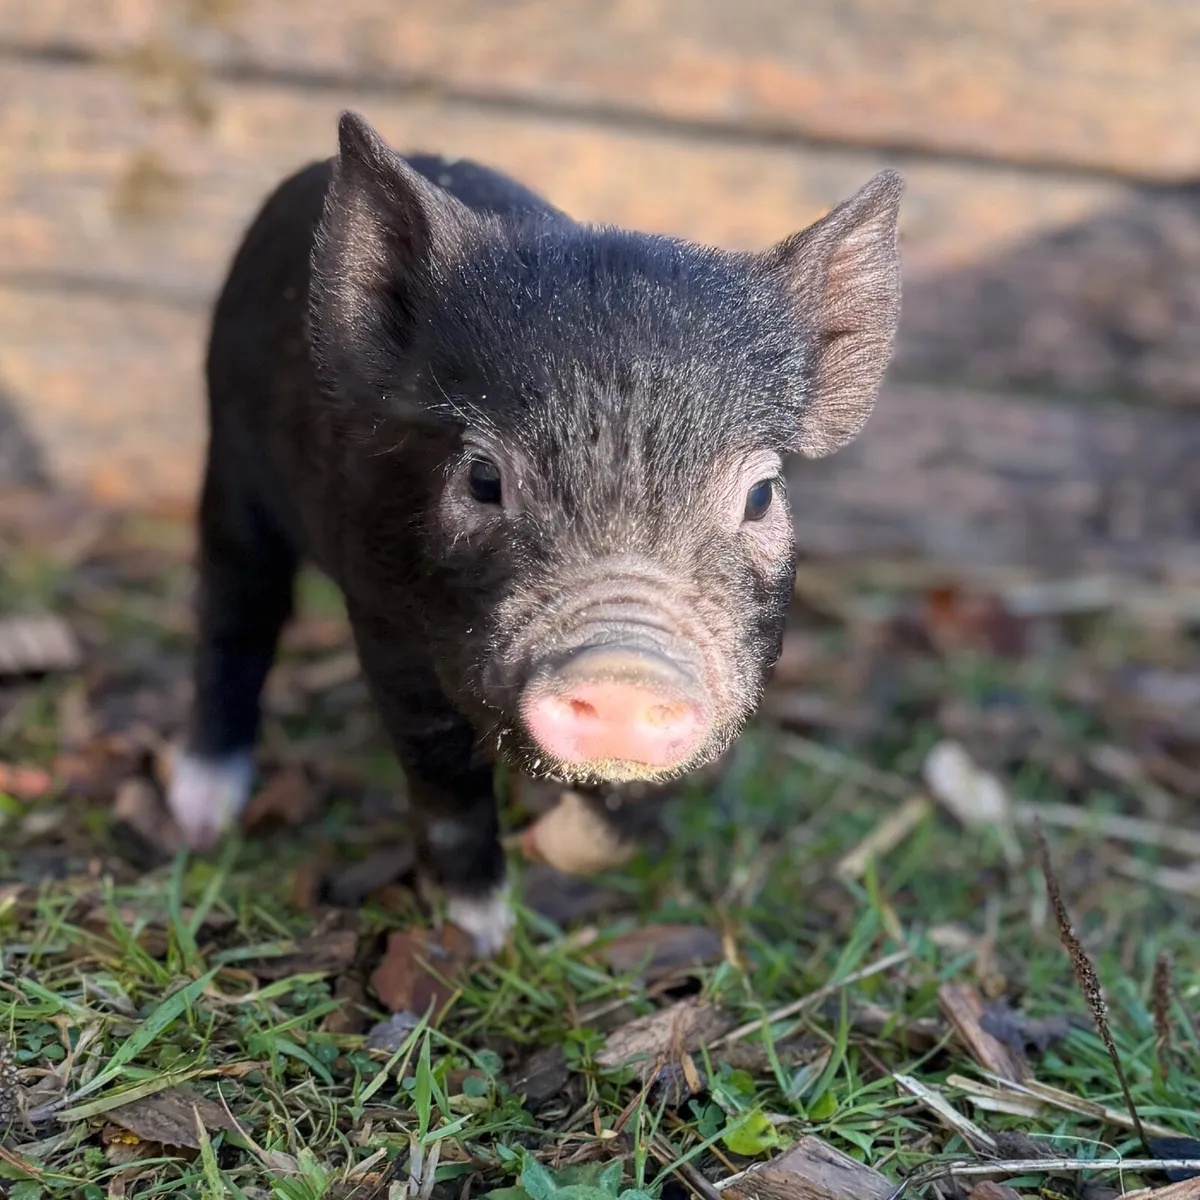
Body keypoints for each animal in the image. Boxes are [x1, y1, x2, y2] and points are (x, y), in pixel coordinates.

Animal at [167, 110, 903, 953]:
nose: (623, 673)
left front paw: (547, 850)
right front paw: (483, 935)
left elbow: (627, 813)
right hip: (228, 453)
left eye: (760, 495)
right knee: (234, 613)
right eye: (483, 478)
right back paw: (202, 818)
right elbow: (443, 781)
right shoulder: (384, 618)